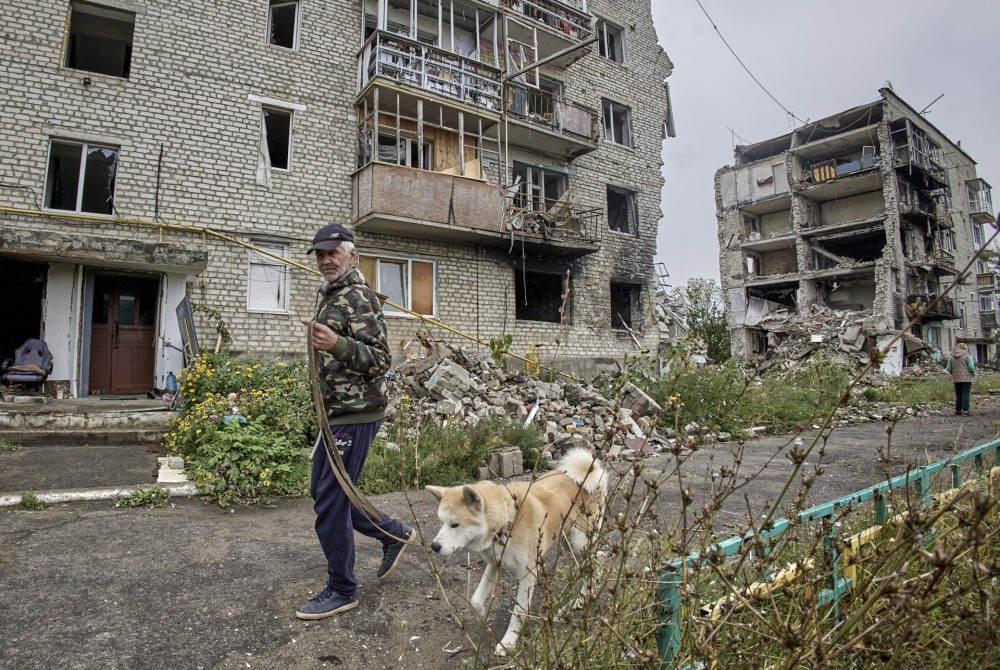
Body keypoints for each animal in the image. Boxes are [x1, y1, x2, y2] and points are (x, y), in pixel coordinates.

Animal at [426, 448, 604, 660]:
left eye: (454, 525)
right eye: (441, 522)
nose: (434, 546)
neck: (508, 522)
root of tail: (587, 471)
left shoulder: (528, 574)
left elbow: (517, 613)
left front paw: (508, 642)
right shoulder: (495, 564)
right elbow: (475, 600)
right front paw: (483, 615)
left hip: (579, 543)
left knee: (597, 562)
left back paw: (588, 595)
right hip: (569, 544)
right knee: (587, 566)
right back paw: (582, 598)